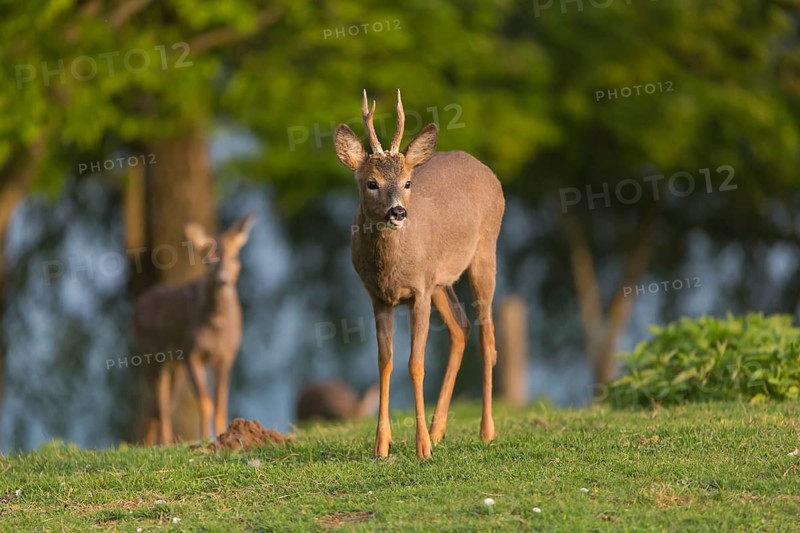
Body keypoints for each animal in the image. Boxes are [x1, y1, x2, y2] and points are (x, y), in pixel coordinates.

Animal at [132, 215, 254, 446]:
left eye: (234, 255)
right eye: (209, 257)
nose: (223, 281)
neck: (216, 328)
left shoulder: (226, 355)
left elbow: (221, 405)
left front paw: (223, 435)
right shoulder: (191, 352)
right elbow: (205, 401)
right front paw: (206, 439)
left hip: (174, 365)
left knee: (157, 405)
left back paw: (148, 442)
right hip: (150, 354)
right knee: (160, 402)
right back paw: (163, 442)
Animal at [334, 89, 505, 459]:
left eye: (407, 182)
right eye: (372, 183)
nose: (397, 212)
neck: (389, 268)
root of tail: (485, 169)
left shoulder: (419, 292)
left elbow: (416, 363)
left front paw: (422, 446)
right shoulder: (378, 297)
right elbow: (385, 361)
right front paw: (381, 445)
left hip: (485, 252)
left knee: (487, 336)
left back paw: (486, 430)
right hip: (440, 280)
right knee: (461, 326)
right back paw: (439, 430)